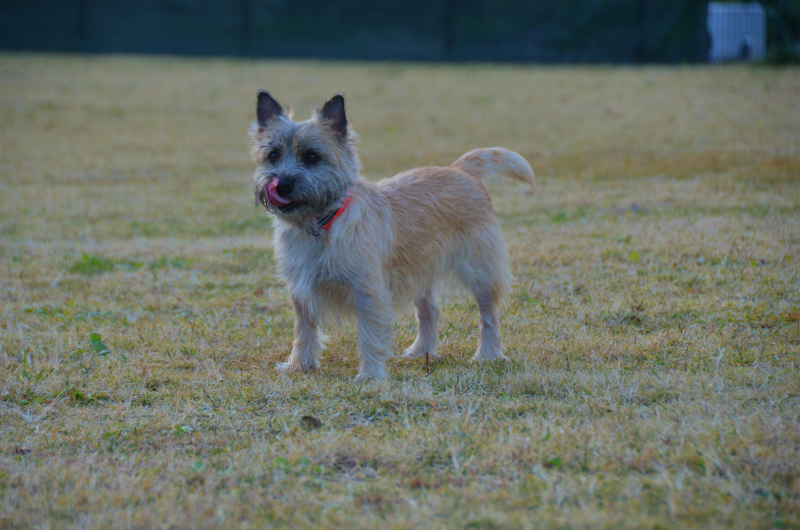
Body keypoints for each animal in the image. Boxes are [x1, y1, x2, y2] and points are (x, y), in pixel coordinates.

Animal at [251, 92, 534, 381]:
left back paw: (488, 355)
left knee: (488, 314)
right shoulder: (301, 289)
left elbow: (368, 335)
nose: (281, 184)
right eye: (273, 155)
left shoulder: (368, 291)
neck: (320, 225)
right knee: (430, 311)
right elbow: (304, 329)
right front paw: (300, 365)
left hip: (480, 270)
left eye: (311, 156)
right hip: (421, 270)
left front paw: (370, 376)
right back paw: (421, 351)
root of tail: (461, 170)